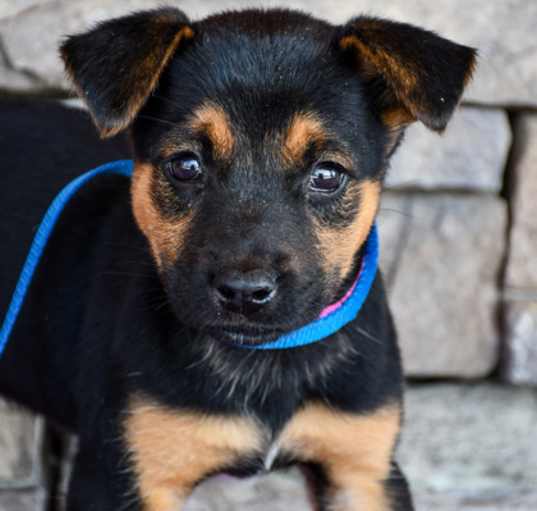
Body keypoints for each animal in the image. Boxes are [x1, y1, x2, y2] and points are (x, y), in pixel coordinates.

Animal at [0, 8, 476, 511]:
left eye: (327, 175)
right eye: (186, 165)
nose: (244, 293)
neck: (267, 359)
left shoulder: (362, 470)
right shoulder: (120, 475)